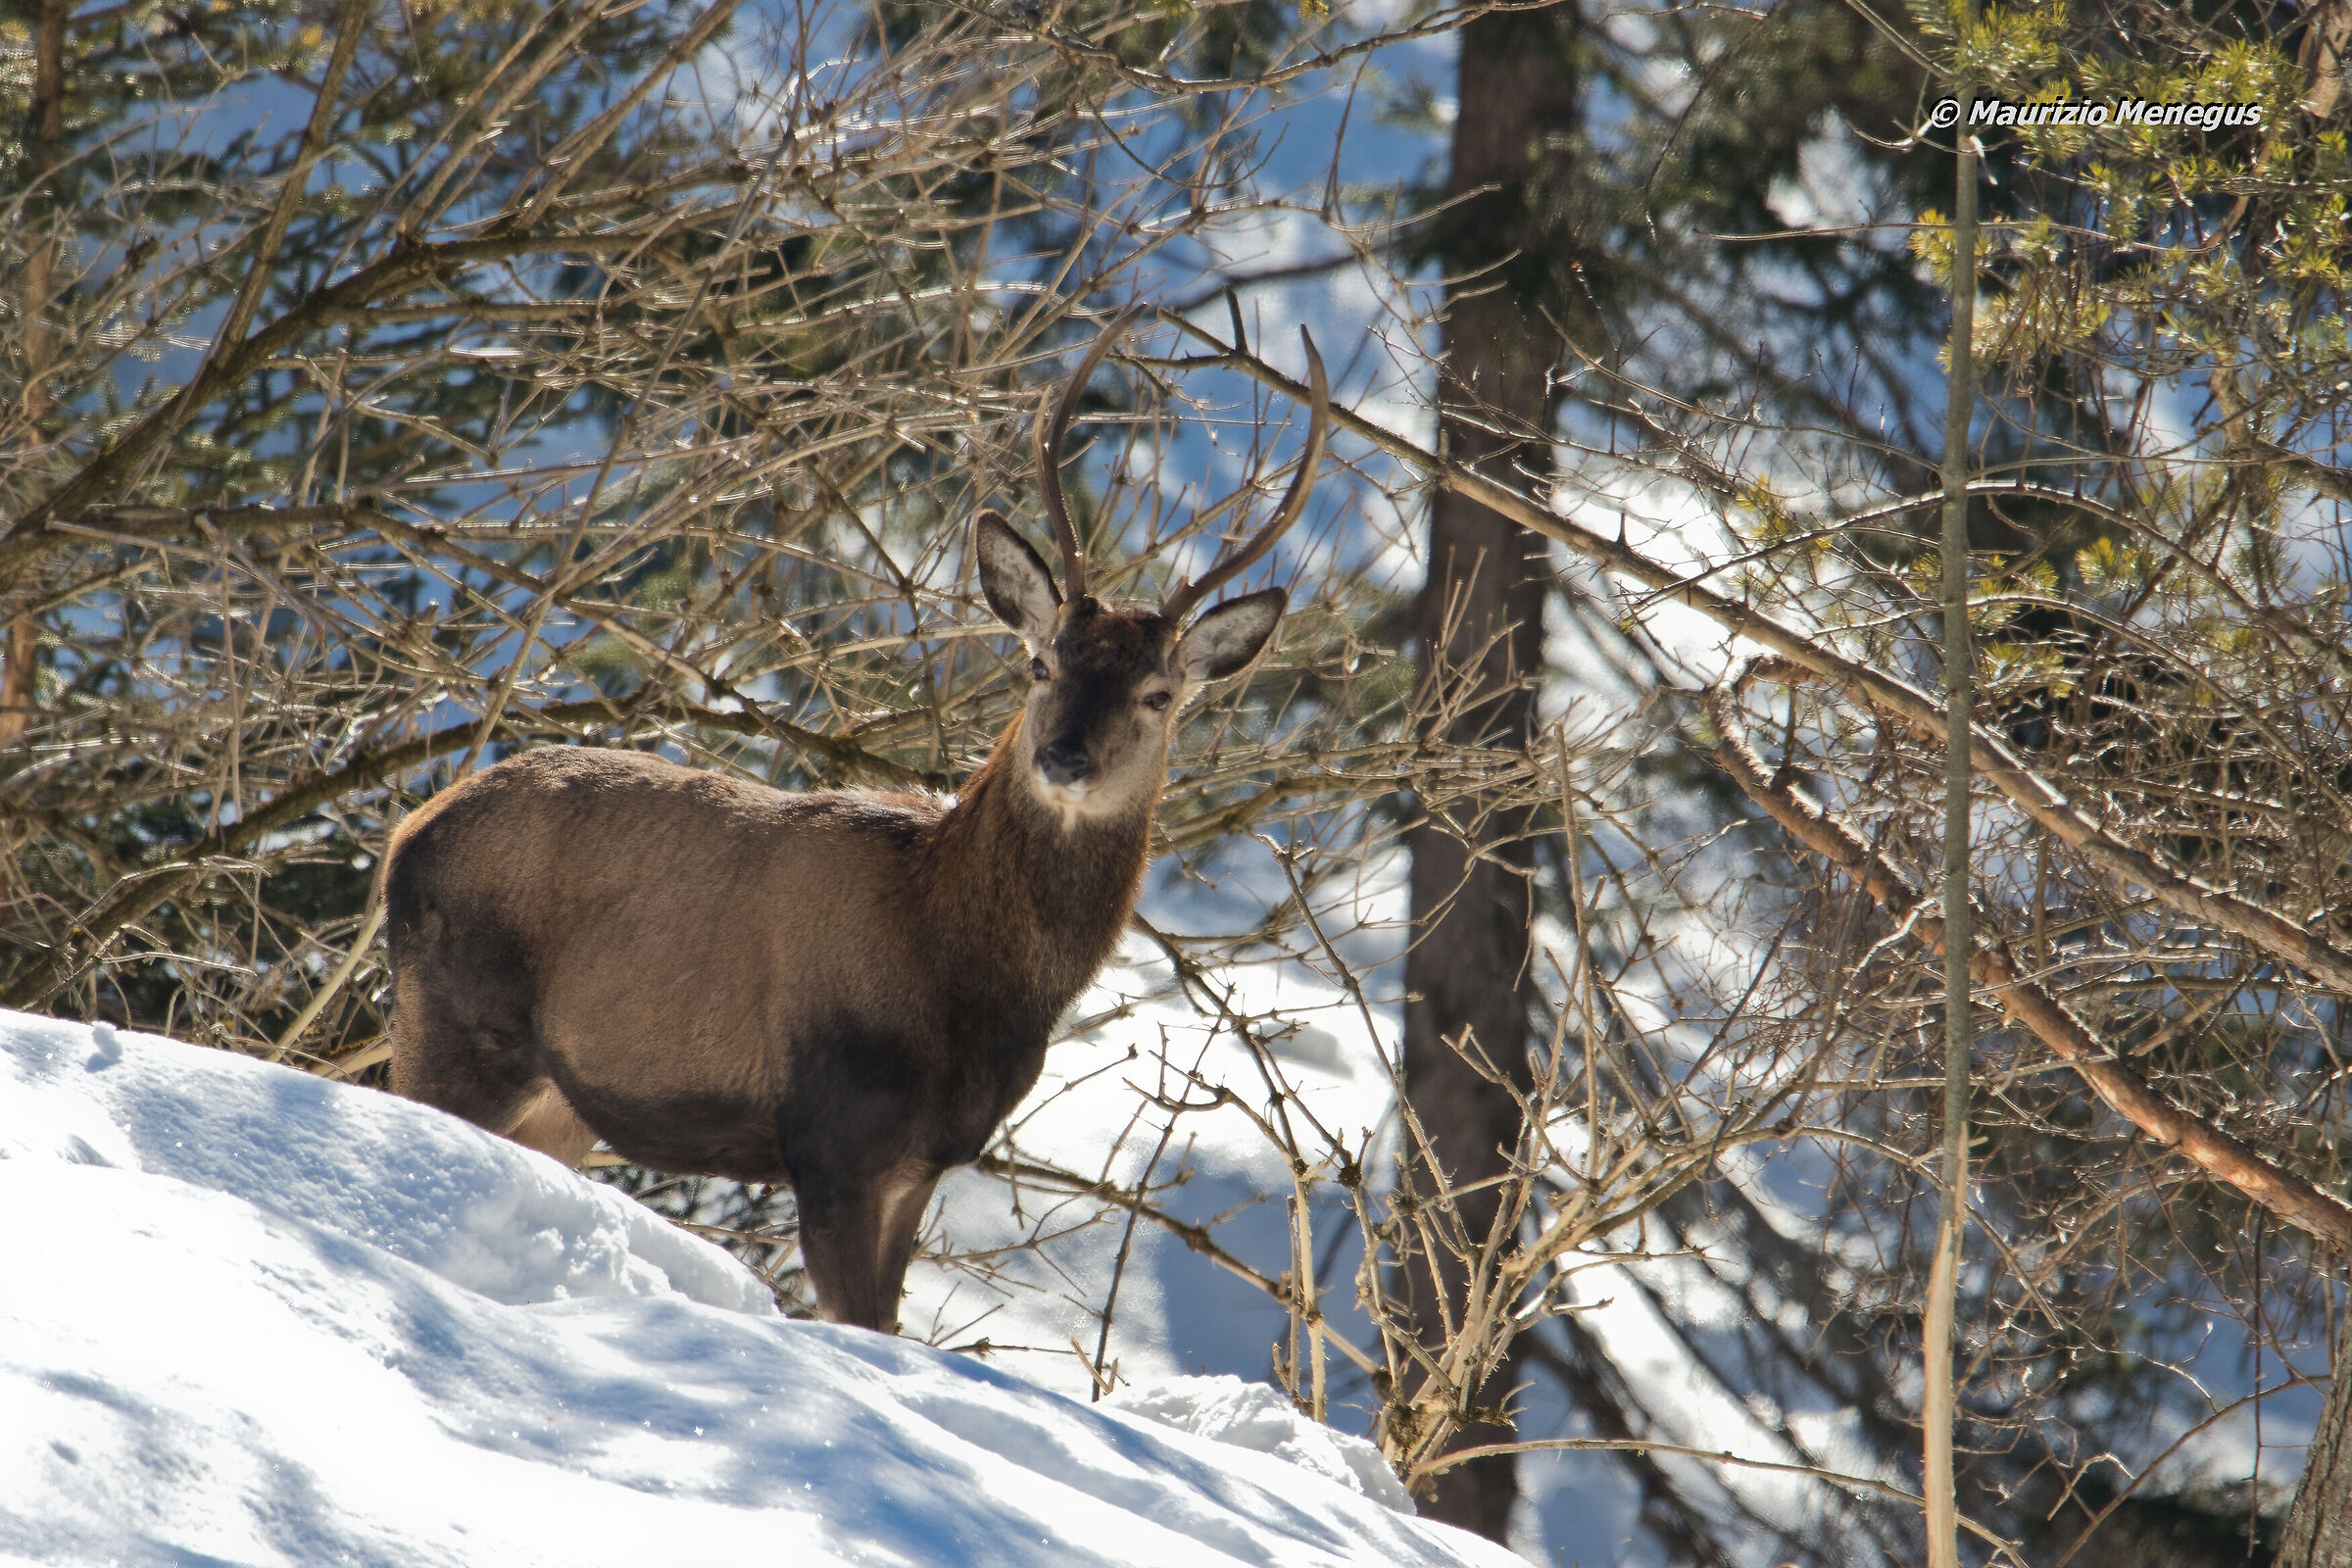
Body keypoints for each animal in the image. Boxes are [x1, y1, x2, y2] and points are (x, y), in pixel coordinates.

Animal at [383, 313, 1331, 1332]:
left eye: (1159, 694)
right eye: (1041, 663)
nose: (1064, 757)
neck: (955, 970)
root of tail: (407, 834)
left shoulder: (922, 1161)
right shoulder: (830, 1135)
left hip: (562, 1100)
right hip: (457, 1022)